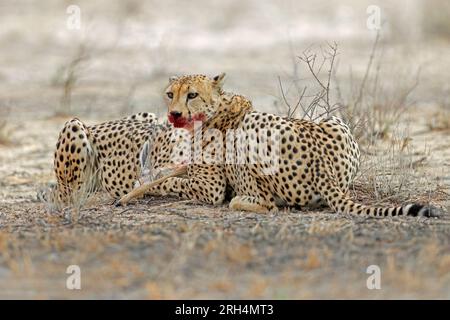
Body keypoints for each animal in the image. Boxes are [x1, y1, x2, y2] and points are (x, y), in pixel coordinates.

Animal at [148, 72, 440, 218]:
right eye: (170, 94)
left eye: (192, 95)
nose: (173, 114)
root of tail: (320, 161)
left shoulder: (210, 188)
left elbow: (170, 181)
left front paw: (148, 181)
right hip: (333, 121)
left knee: (268, 204)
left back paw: (241, 200)